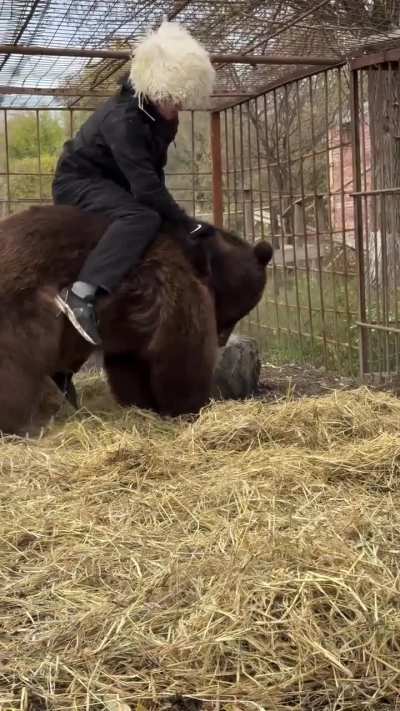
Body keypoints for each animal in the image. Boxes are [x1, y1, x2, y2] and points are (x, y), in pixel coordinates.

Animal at [0, 205, 273, 434]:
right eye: (236, 313)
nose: (222, 339)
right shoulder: (176, 288)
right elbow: (182, 356)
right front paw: (188, 407)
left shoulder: (131, 318)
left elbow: (129, 362)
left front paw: (142, 404)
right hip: (26, 304)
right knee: (16, 367)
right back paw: (24, 422)